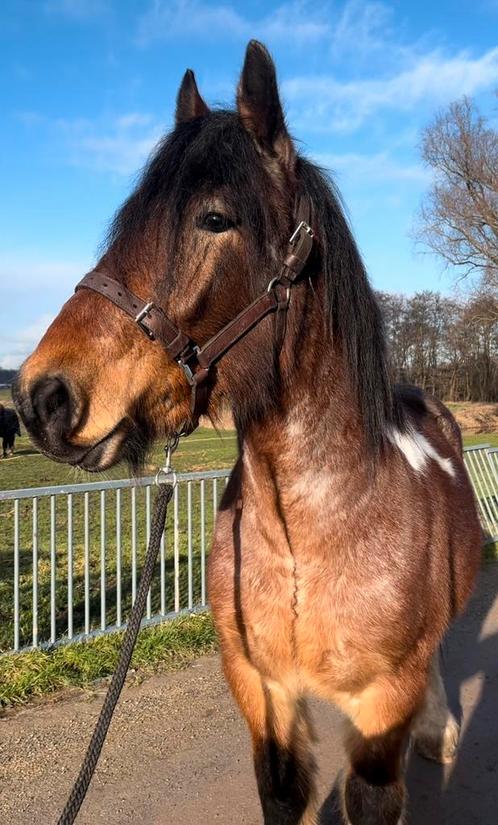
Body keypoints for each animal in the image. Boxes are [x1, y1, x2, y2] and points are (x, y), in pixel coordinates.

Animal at [14, 43, 482, 824]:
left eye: (214, 218)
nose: (41, 396)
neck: (310, 533)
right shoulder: (264, 697)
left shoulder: (381, 710)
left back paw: (441, 728)